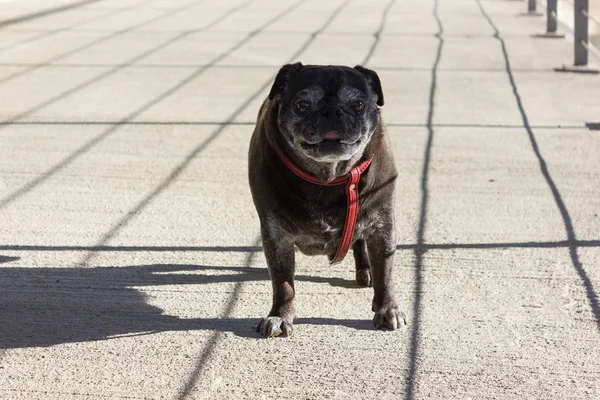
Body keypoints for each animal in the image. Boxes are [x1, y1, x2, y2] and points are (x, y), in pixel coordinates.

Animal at [246, 62, 406, 338]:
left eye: (357, 104)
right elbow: (283, 282)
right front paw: (280, 316)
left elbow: (385, 272)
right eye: (302, 105)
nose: (332, 111)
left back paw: (365, 270)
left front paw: (387, 309)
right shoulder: (276, 235)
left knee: (360, 245)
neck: (328, 178)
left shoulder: (382, 226)